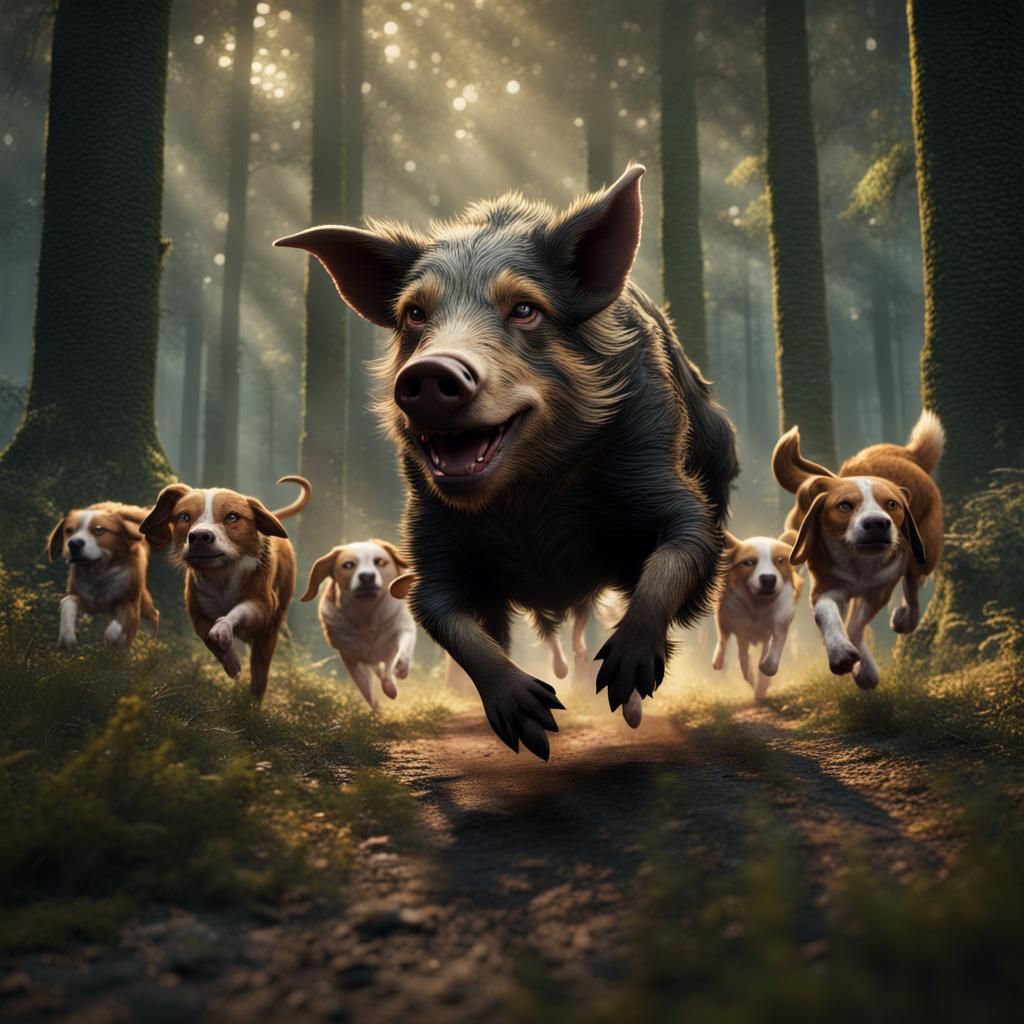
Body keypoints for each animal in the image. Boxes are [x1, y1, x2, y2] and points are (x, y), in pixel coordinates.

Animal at [275, 164, 739, 760]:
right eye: (415, 314)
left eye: (524, 309)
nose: (431, 371)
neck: (528, 500)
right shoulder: (430, 540)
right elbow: (446, 617)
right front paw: (534, 722)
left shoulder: (664, 483)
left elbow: (680, 549)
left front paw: (619, 677)